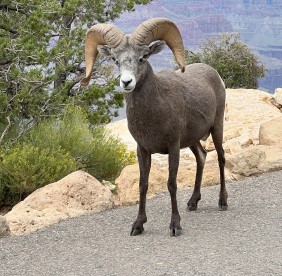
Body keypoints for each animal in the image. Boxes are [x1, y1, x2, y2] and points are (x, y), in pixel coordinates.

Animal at [80, 17, 228, 237]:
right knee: (202, 157)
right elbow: (143, 185)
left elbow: (171, 184)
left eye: (143, 57)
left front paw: (175, 226)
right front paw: (138, 225)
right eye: (116, 60)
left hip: (217, 127)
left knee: (220, 157)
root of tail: (215, 75)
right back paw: (193, 203)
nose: (126, 82)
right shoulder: (142, 150)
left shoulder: (173, 147)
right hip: (192, 140)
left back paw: (222, 201)